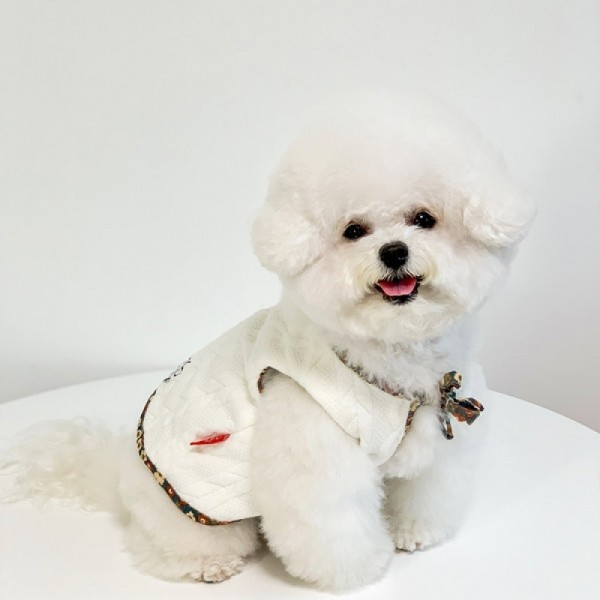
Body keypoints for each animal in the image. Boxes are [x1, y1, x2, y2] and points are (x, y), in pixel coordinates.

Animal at [1, 93, 534, 591]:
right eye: (353, 230)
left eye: (424, 218)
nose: (393, 251)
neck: (391, 357)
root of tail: (119, 478)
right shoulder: (313, 442)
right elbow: (331, 519)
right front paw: (359, 570)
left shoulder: (438, 431)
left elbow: (426, 486)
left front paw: (413, 532)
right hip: (191, 508)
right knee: (159, 547)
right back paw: (207, 563)